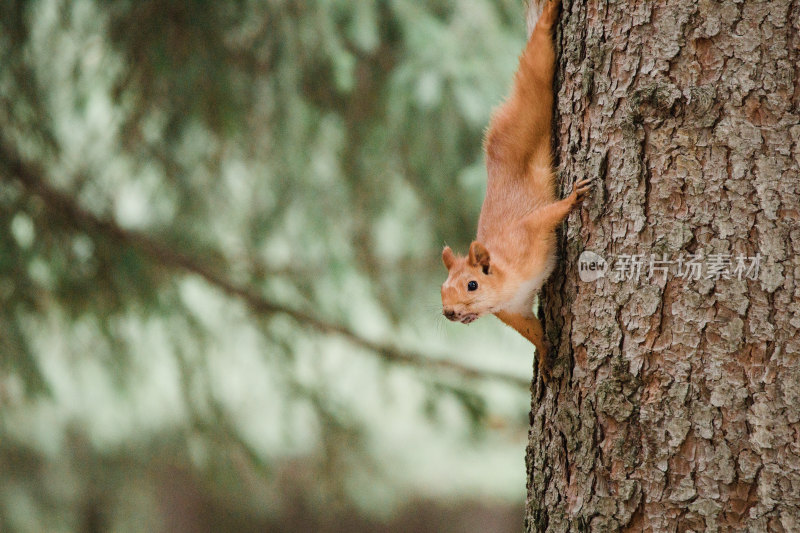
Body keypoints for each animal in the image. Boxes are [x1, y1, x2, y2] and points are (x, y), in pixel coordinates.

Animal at [440, 1, 592, 382]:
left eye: (472, 285)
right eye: (442, 288)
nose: (448, 312)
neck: (507, 280)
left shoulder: (525, 234)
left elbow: (547, 215)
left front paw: (574, 198)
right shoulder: (515, 310)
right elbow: (532, 331)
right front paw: (548, 355)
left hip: (533, 102)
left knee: (535, 63)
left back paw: (548, 16)